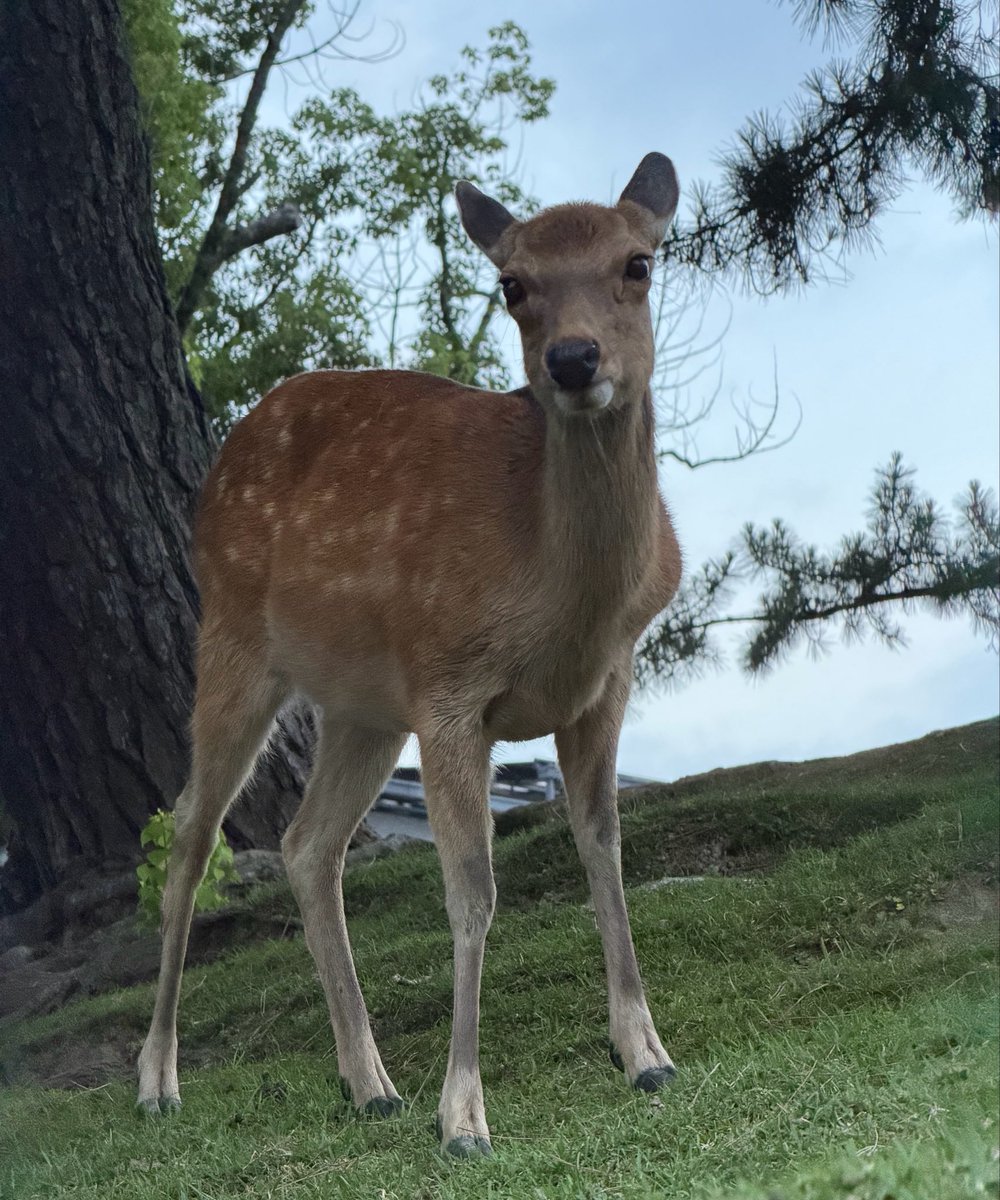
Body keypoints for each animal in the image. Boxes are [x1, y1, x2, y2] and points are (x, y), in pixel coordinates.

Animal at [137, 153, 683, 1158]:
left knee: (307, 844)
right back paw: (159, 1080)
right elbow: (472, 891)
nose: (573, 360)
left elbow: (604, 846)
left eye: (638, 263)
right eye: (512, 285)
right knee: (191, 832)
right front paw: (464, 1115)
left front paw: (646, 1054)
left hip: (361, 706)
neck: (568, 600)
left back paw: (371, 1084)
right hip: (231, 637)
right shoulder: (449, 684)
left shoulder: (607, 679)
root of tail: (219, 459)